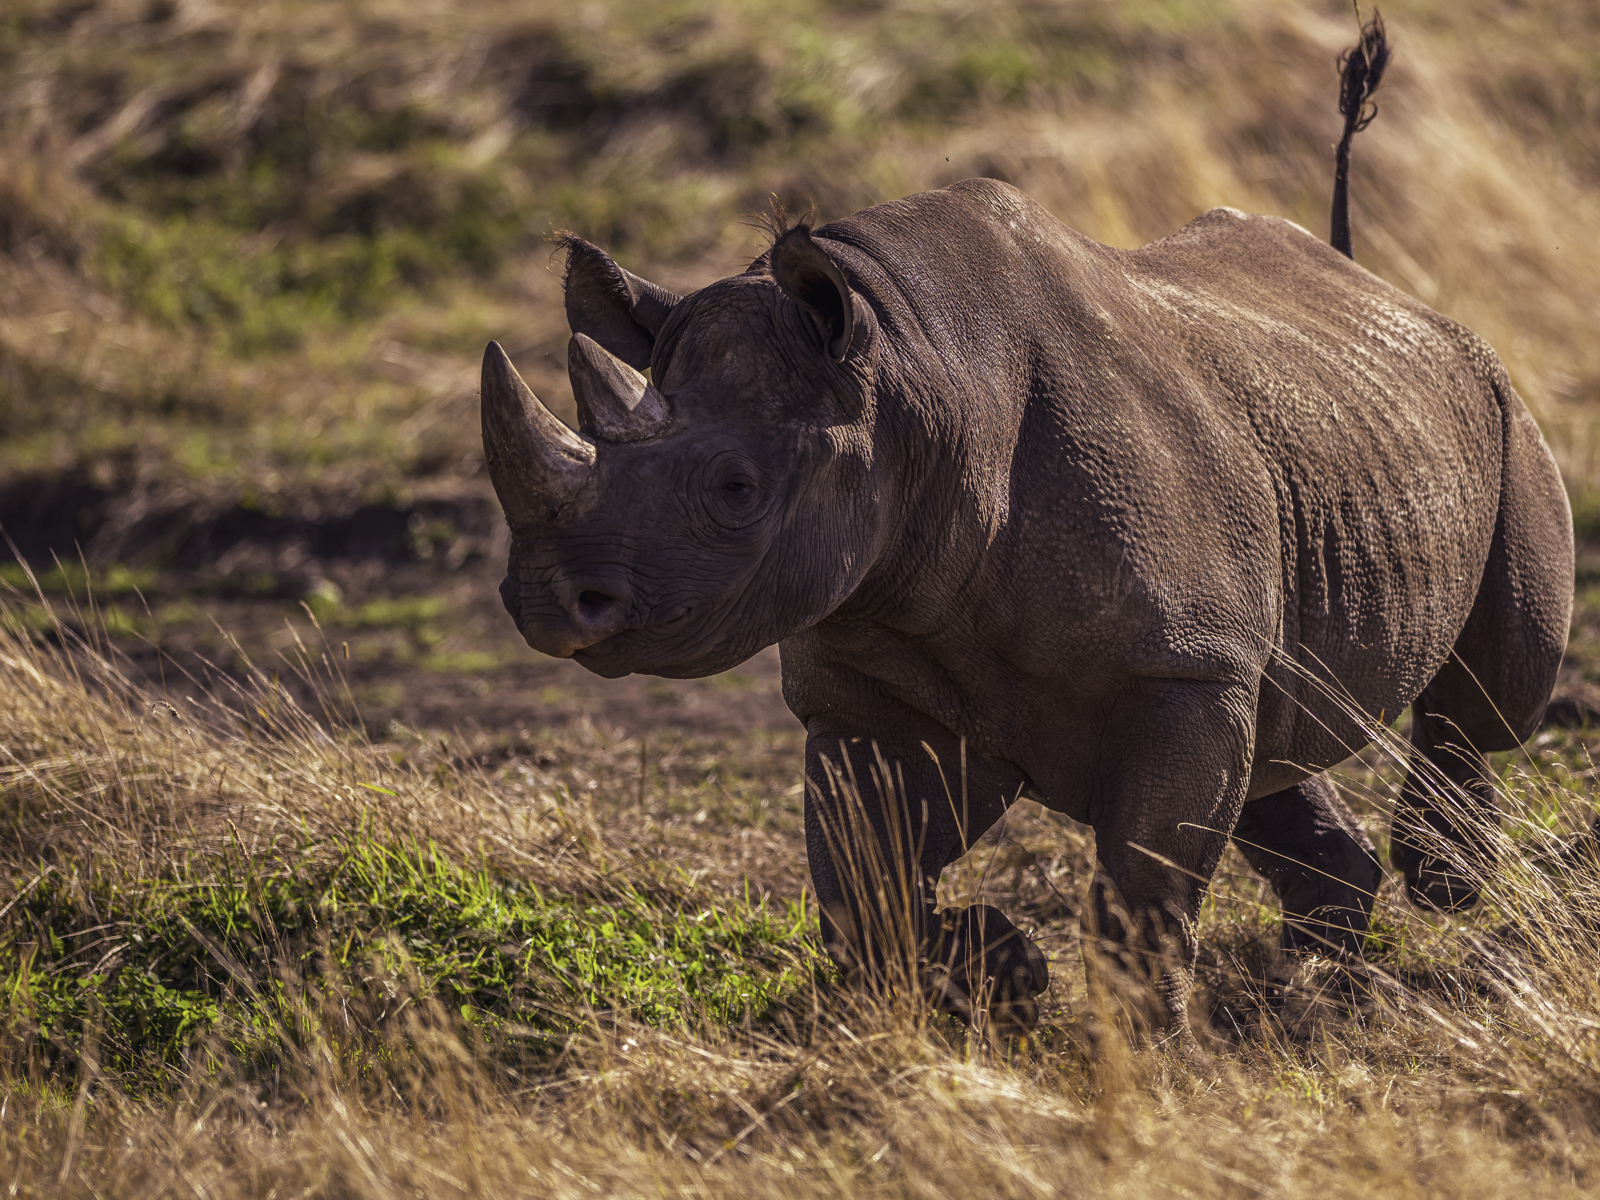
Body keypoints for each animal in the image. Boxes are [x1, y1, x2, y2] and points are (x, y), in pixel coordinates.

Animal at [480, 173, 1573, 1038]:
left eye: (735, 489)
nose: (544, 600)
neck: (917, 379)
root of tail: (1382, 287)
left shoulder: (1177, 664)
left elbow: (1143, 894)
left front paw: (1142, 1065)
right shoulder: (873, 679)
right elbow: (862, 884)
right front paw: (1007, 970)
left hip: (1499, 407)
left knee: (1492, 695)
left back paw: (1446, 878)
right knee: (1275, 741)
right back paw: (1324, 999)